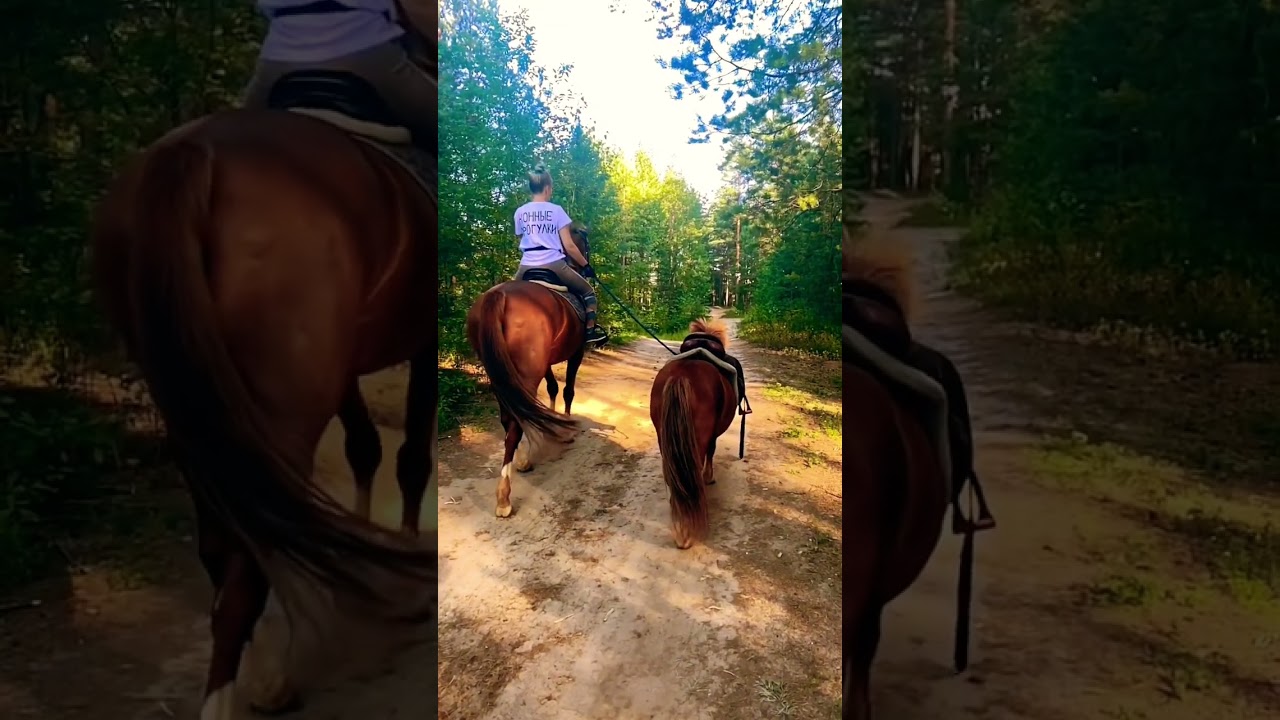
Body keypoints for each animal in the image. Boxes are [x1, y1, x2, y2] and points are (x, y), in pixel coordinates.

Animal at [89, 10, 438, 720]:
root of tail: (191, 153)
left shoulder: (341, 363)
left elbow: (364, 447)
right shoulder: (418, 340)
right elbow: (410, 455)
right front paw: (407, 581)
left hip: (197, 405)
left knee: (227, 545)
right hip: (281, 404)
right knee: (254, 550)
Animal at [464, 225, 594, 518]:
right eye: (586, 245)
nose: (588, 268)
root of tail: (498, 295)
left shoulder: (544, 361)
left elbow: (552, 388)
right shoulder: (576, 353)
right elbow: (568, 390)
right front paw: (566, 428)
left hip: (501, 373)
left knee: (512, 416)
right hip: (525, 370)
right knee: (515, 421)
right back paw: (504, 496)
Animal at [649, 318, 740, 549]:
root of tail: (682, 375)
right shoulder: (711, 435)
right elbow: (712, 451)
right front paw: (709, 477)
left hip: (665, 439)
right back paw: (686, 532)